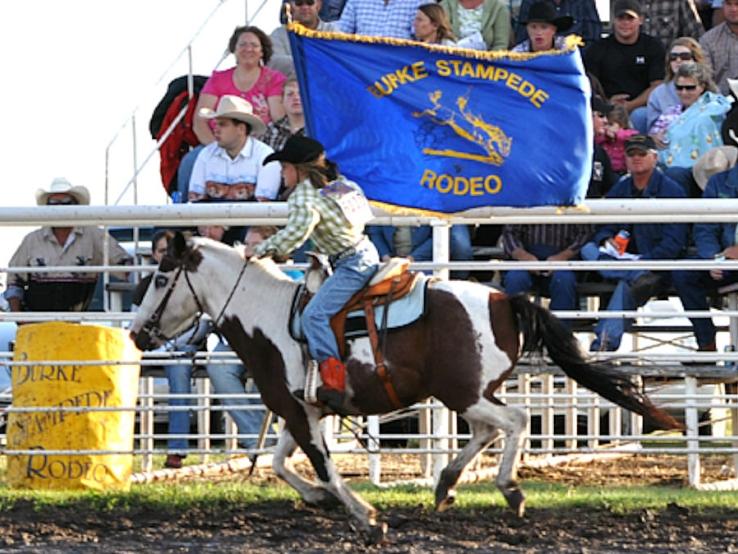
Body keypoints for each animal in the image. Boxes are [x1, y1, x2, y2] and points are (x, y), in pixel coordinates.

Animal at [129, 232, 680, 540]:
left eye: (160, 277)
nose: (136, 333)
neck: (268, 314)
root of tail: (505, 298)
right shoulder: (299, 409)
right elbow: (282, 463)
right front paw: (320, 500)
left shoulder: (301, 412)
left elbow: (322, 467)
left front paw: (366, 518)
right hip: (469, 393)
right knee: (488, 431)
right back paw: (446, 484)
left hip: (465, 392)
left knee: (514, 421)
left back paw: (509, 489)